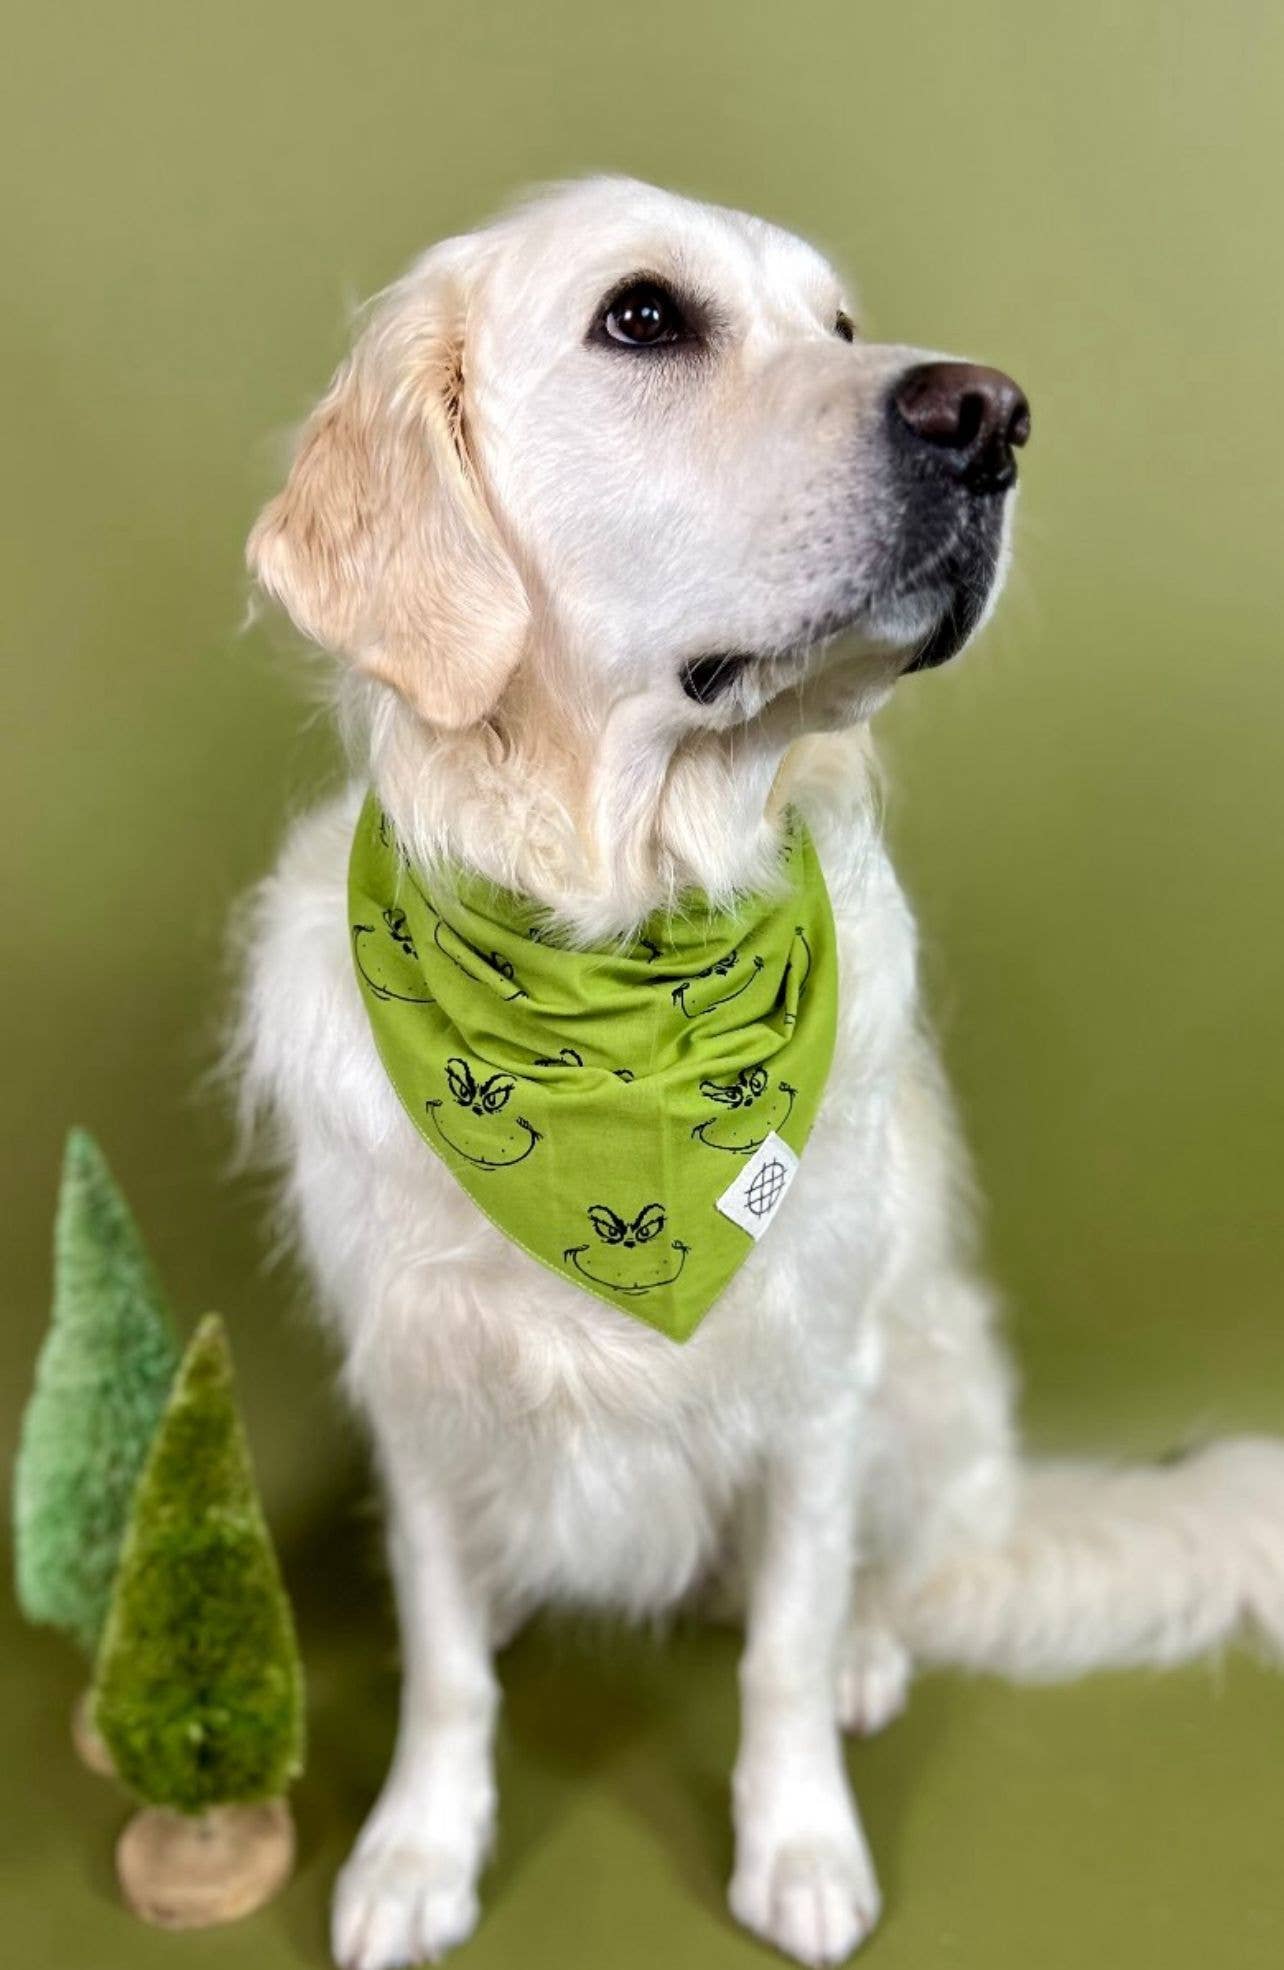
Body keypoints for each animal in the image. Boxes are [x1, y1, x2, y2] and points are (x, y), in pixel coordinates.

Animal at [235, 177, 1284, 1962]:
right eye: (643, 316)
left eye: (840, 324)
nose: (991, 414)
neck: (614, 971)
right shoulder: (423, 1380)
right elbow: (444, 1666)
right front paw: (419, 1850)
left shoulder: (811, 1372)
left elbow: (785, 1642)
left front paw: (799, 1845)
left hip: (921, 1374)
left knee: (885, 1575)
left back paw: (872, 1643)